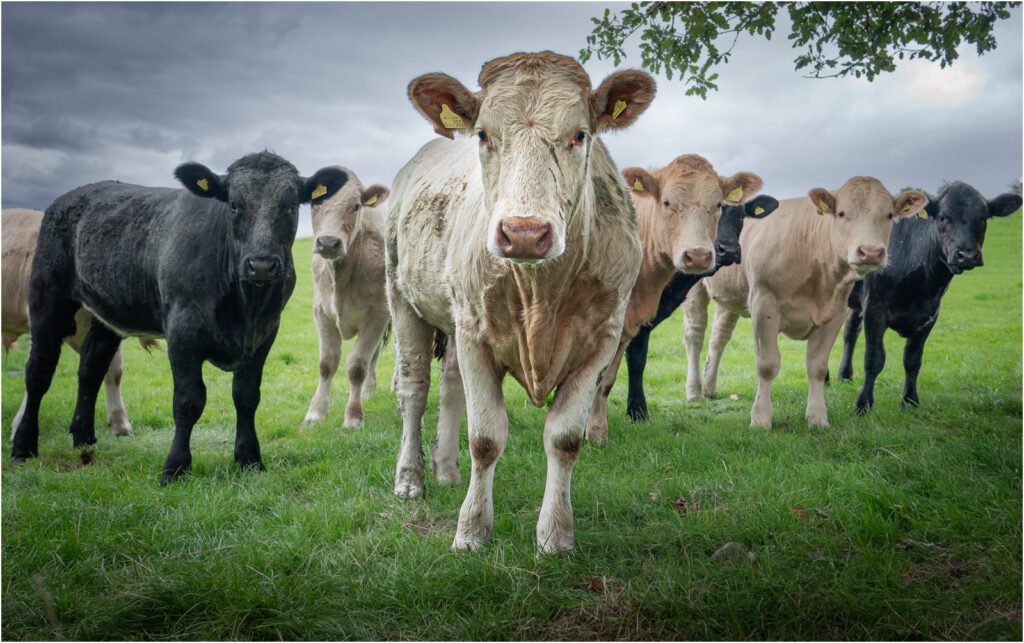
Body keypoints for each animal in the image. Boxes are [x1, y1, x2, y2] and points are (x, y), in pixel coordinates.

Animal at [302, 166, 391, 429]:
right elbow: (327, 363)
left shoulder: (378, 313)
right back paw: (368, 390)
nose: (328, 242)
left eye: (356, 206)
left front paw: (353, 416)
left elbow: (357, 365)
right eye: (315, 203)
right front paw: (316, 411)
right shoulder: (321, 311)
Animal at [387, 51, 655, 553]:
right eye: (483, 134)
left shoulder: (603, 337)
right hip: (403, 299)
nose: (525, 233)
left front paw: (556, 534)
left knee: (450, 388)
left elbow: (565, 438)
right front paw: (471, 529)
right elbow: (486, 437)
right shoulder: (474, 332)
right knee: (414, 391)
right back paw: (411, 477)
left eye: (580, 134)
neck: (540, 292)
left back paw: (447, 470)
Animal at [683, 177, 927, 430]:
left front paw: (817, 417)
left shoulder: (836, 313)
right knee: (695, 335)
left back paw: (708, 387)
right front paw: (760, 418)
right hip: (695, 287)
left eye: (889, 215)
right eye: (842, 213)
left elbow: (818, 367)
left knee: (718, 337)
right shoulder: (764, 304)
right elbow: (767, 365)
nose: (870, 252)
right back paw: (694, 392)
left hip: (730, 296)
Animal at [837, 183, 1021, 412]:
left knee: (850, 330)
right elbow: (874, 359)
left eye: (983, 218)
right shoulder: (874, 308)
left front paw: (910, 401)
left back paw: (844, 376)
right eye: (943, 217)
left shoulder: (930, 315)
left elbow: (913, 360)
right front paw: (863, 405)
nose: (967, 255)